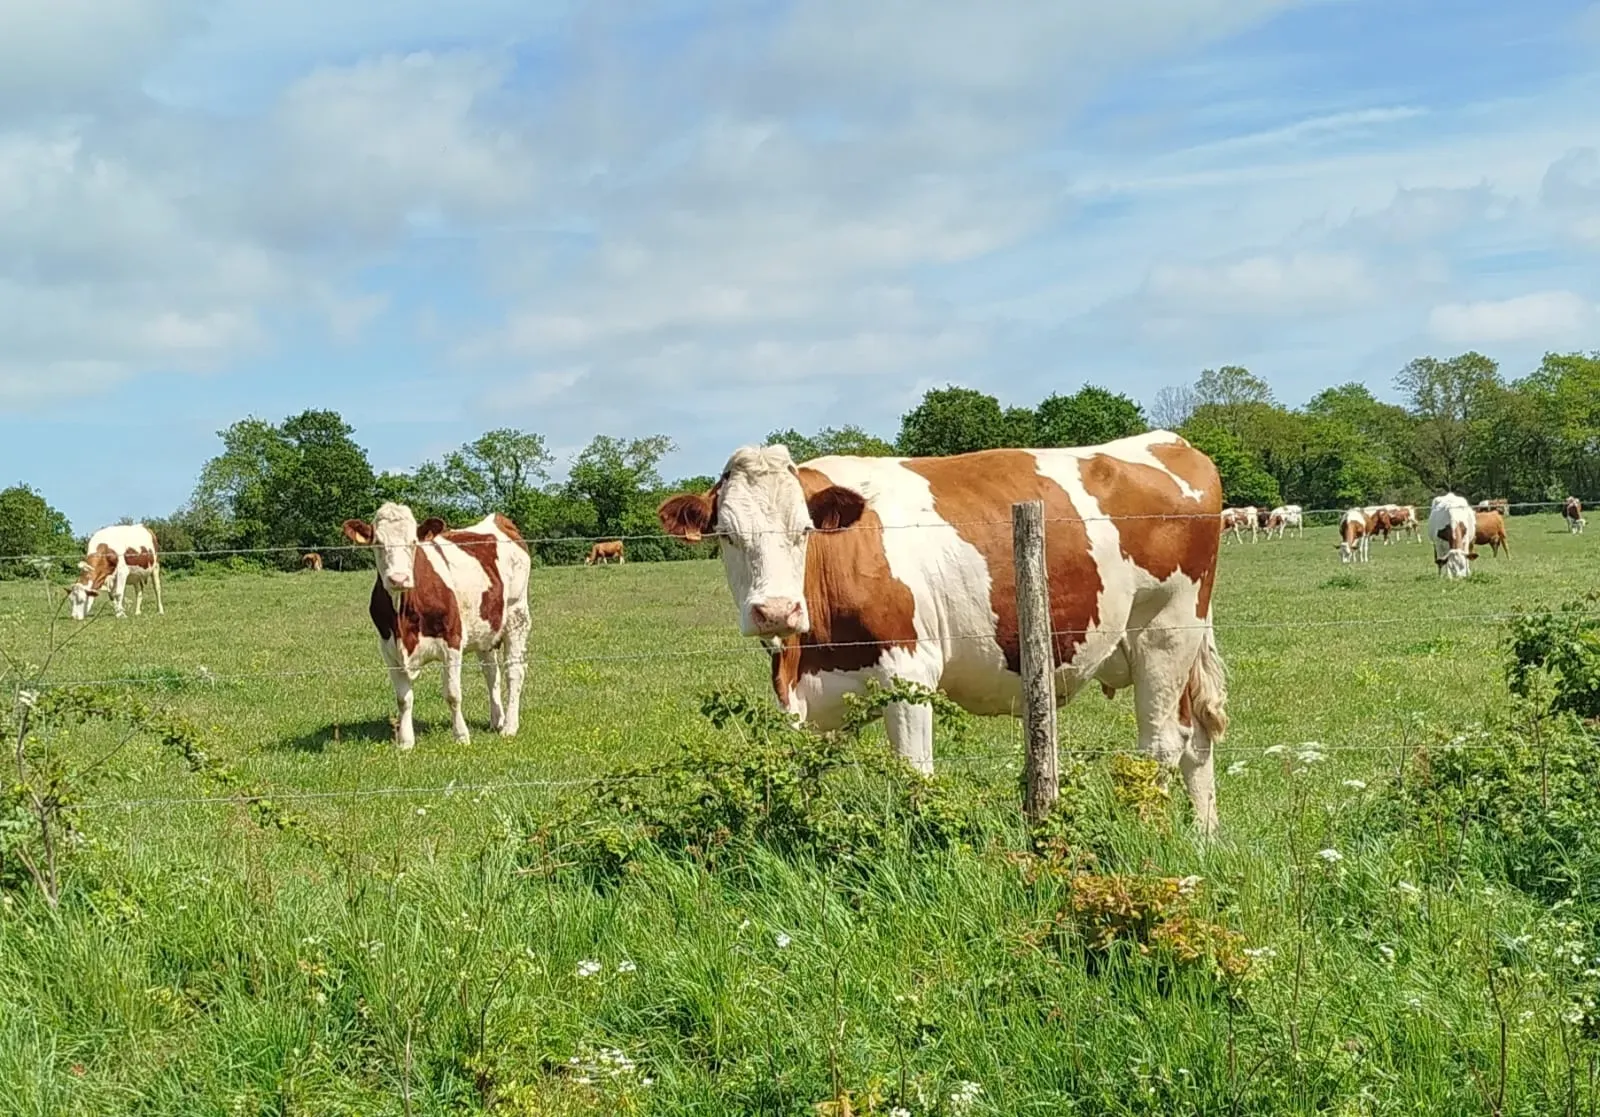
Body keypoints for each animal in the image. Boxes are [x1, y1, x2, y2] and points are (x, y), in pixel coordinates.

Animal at [341, 504, 532, 749]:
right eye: (378, 543)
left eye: (413, 542)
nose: (399, 579)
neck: (403, 620)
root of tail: (497, 520)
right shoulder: (389, 649)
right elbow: (403, 699)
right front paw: (406, 741)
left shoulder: (452, 640)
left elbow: (453, 694)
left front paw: (461, 736)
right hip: (486, 629)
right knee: (491, 673)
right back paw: (496, 720)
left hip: (518, 617)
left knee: (514, 671)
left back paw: (509, 726)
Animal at [657, 432, 1231, 832]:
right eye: (727, 535)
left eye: (804, 530)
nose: (776, 610)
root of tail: (1171, 442)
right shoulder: (804, 696)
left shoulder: (909, 674)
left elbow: (915, 777)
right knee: (1197, 739)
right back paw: (1204, 838)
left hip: (1165, 632)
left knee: (1161, 744)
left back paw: (1152, 834)